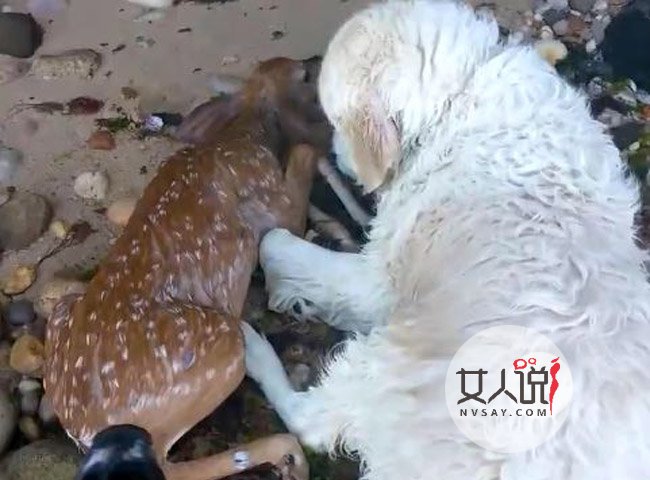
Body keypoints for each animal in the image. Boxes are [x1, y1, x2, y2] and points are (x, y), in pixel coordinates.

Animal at [42, 57, 331, 480]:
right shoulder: (276, 204)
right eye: (304, 76)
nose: (315, 60)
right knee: (170, 467)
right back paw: (287, 454)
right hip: (218, 348)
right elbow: (304, 156)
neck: (243, 133)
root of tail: (86, 427)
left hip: (64, 309)